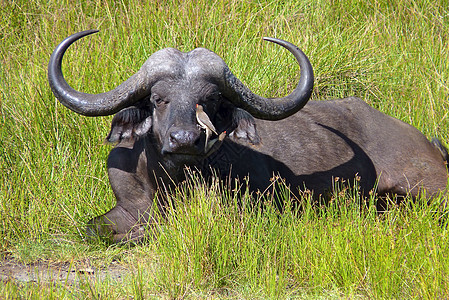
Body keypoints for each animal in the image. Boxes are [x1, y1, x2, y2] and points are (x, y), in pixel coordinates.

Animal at [47, 29, 446, 241]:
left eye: (209, 100)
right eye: (158, 99)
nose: (185, 140)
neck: (170, 184)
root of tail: (427, 141)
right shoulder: (125, 206)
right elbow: (94, 229)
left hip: (426, 188)